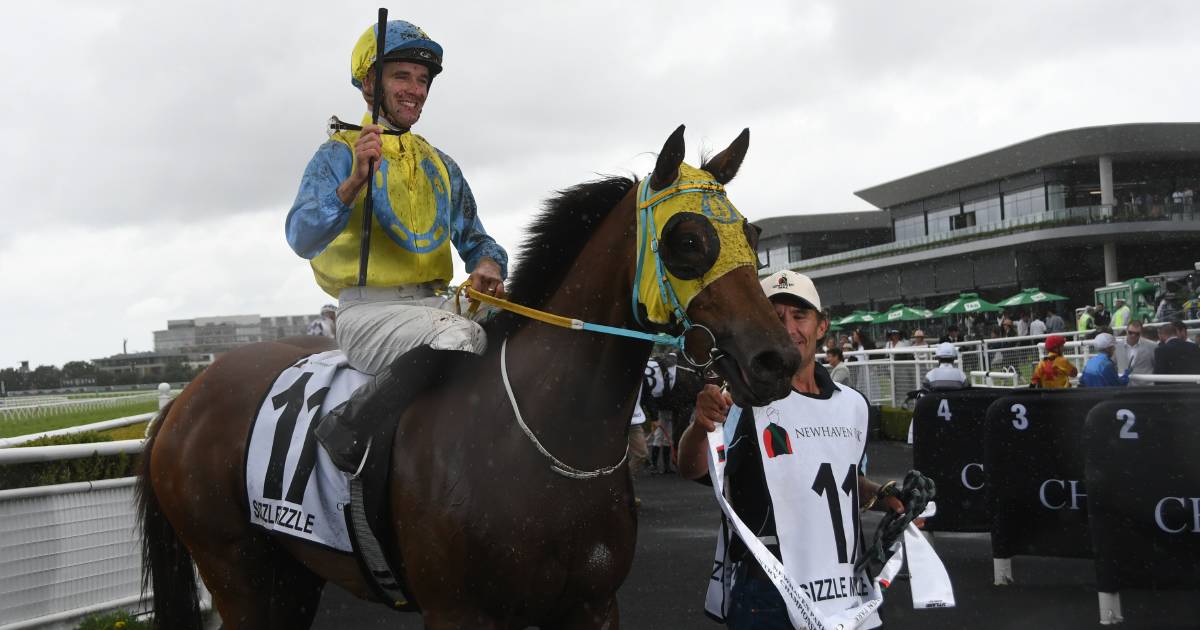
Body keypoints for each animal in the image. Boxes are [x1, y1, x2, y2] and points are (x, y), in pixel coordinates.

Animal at [138, 125, 796, 624]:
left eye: (753, 234)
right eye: (687, 240)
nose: (777, 360)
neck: (544, 442)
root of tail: (183, 399)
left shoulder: (591, 605)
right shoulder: (461, 612)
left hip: (290, 573)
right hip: (236, 570)